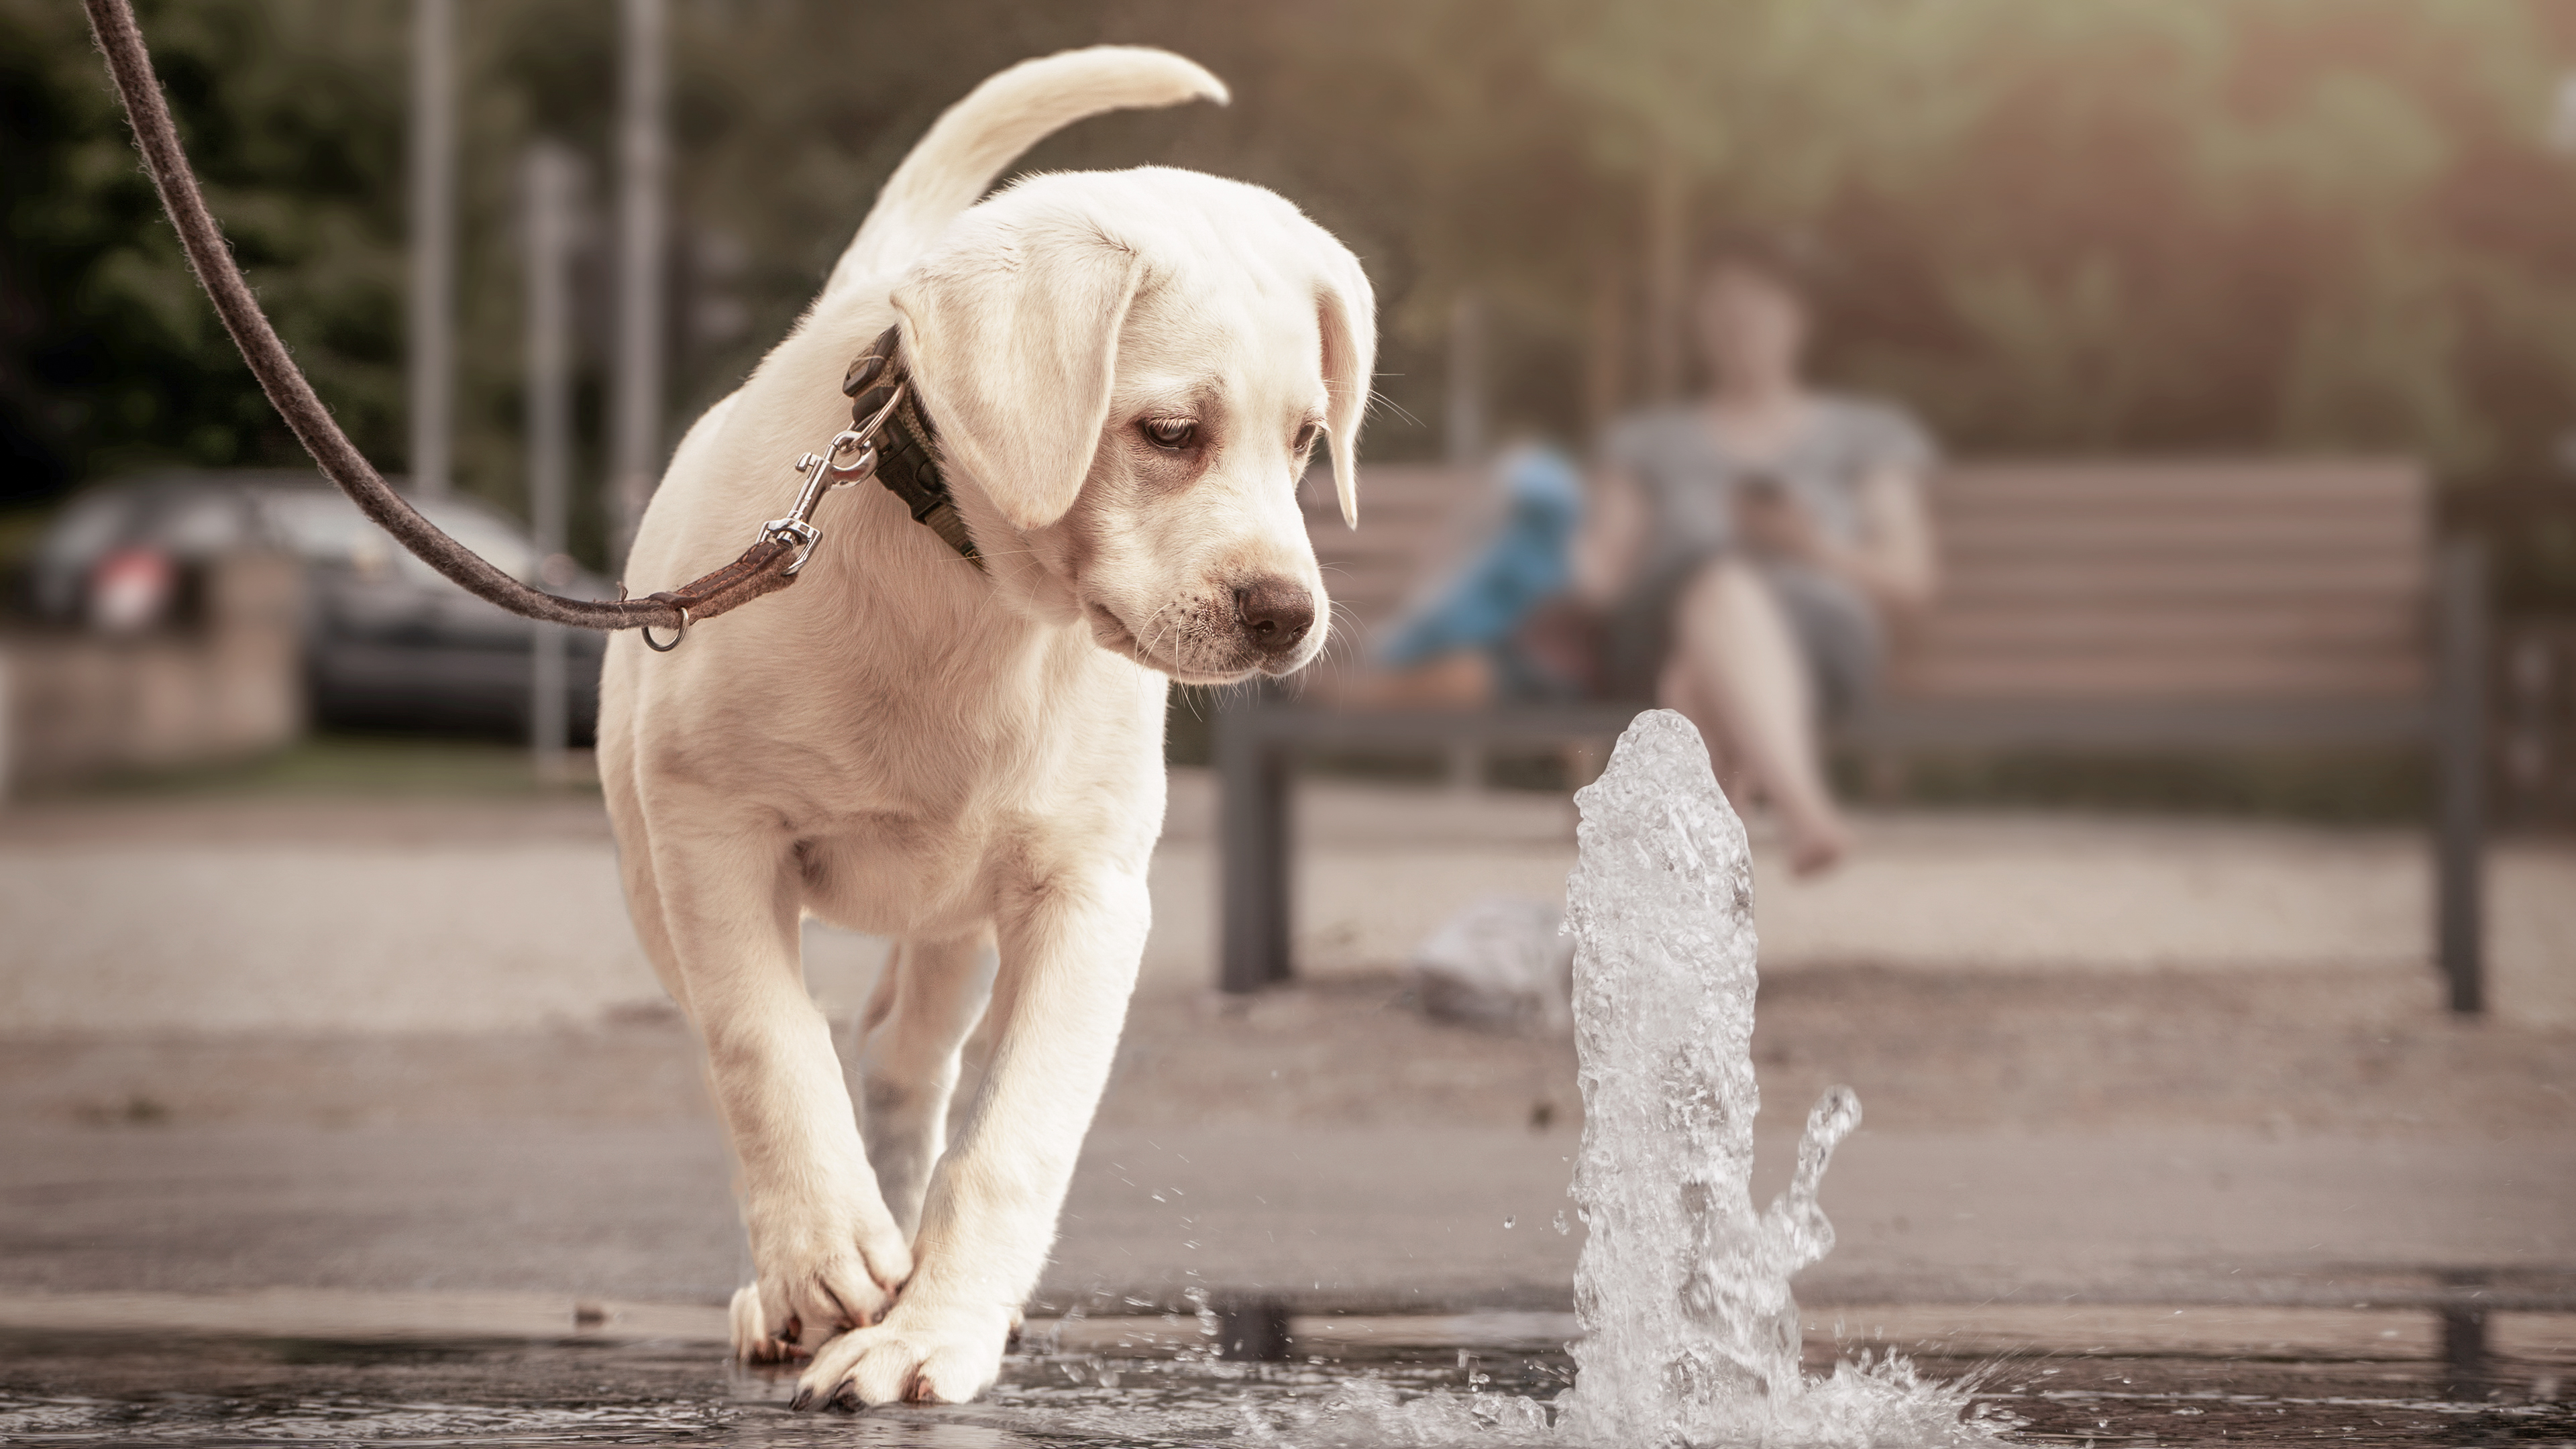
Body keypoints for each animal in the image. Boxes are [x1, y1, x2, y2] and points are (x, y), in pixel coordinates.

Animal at [595, 48, 1381, 1413]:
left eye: (1305, 441)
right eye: (1171, 433)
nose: (1288, 615)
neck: (973, 603)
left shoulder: (1089, 897)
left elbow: (1017, 1135)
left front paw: (931, 1332)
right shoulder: (710, 830)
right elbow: (762, 1041)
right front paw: (821, 1252)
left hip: (958, 926)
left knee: (907, 1066)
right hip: (658, 879)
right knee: (763, 1040)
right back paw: (794, 1277)